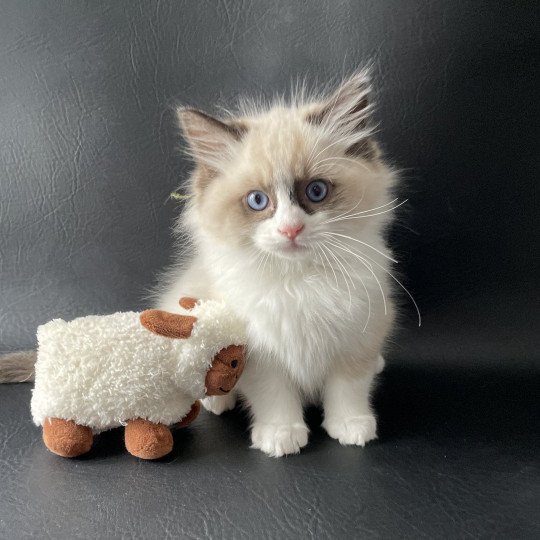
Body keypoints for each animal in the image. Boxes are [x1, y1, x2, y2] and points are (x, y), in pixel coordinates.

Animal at [158, 68, 412, 456]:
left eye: (316, 191)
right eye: (258, 201)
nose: (290, 229)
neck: (300, 281)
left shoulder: (357, 336)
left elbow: (348, 388)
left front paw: (350, 426)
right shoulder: (259, 352)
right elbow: (274, 396)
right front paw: (281, 435)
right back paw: (218, 401)